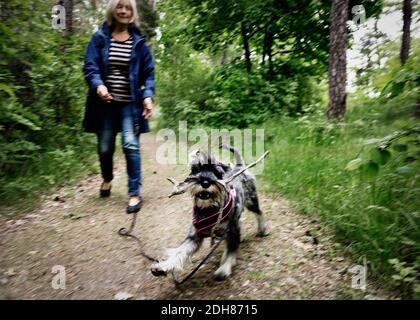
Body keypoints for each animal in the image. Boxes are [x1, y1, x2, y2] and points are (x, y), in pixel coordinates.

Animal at [151, 145, 270, 280]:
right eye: (195, 169)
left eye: (217, 172)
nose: (205, 182)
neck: (209, 209)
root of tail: (239, 166)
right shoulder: (194, 236)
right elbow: (180, 251)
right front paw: (162, 266)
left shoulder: (232, 229)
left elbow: (231, 249)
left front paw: (224, 268)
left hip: (251, 201)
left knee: (259, 213)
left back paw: (263, 229)